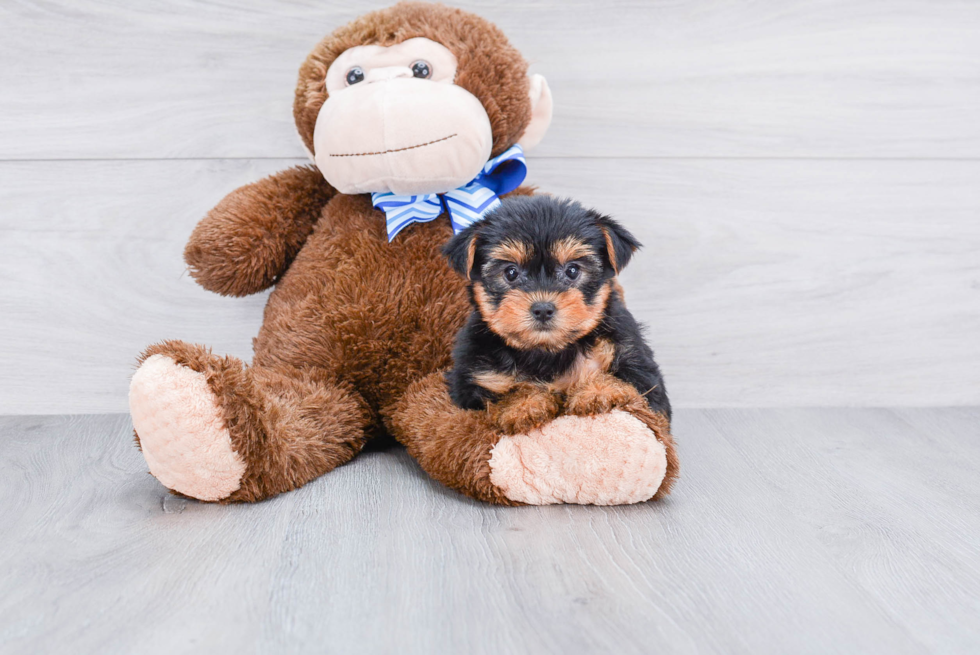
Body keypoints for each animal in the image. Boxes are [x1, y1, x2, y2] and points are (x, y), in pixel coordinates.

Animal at [442, 195, 668, 436]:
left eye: (572, 270)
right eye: (510, 272)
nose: (542, 309)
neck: (546, 351)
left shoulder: (635, 361)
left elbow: (630, 387)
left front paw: (597, 392)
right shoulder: (471, 381)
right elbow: (501, 395)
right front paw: (524, 406)